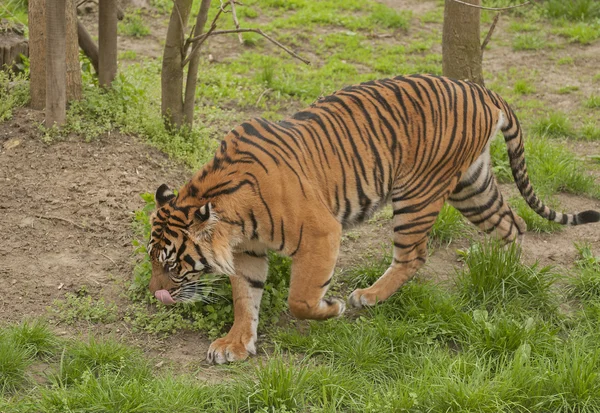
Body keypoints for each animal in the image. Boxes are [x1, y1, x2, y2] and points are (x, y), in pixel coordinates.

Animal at [146, 74, 600, 364]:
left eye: (172, 265)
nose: (156, 295)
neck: (230, 216)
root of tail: (481, 89)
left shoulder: (321, 232)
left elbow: (300, 298)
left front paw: (330, 308)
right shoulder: (249, 252)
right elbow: (245, 299)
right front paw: (235, 344)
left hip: (418, 195)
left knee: (413, 255)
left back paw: (369, 296)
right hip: (472, 187)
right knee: (513, 224)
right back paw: (501, 271)